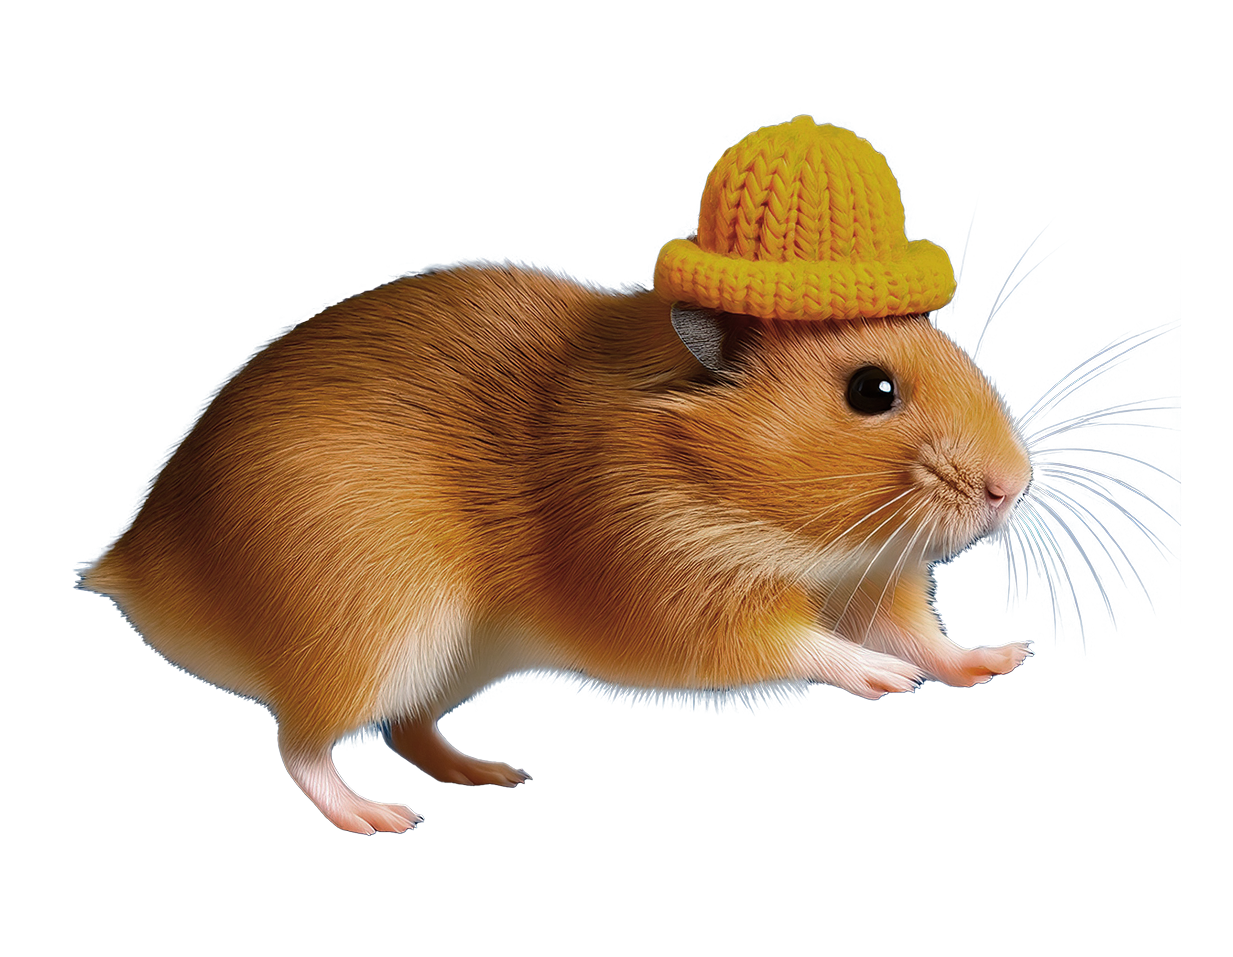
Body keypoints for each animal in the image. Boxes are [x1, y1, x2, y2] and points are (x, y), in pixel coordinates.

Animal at [77, 259, 1034, 834]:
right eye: (871, 390)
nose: (1010, 485)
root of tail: (133, 563)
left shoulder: (867, 578)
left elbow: (923, 636)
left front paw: (1002, 656)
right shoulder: (661, 593)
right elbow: (801, 644)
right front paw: (886, 680)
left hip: (449, 659)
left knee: (407, 726)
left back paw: (493, 771)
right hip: (370, 630)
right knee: (302, 742)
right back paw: (379, 816)